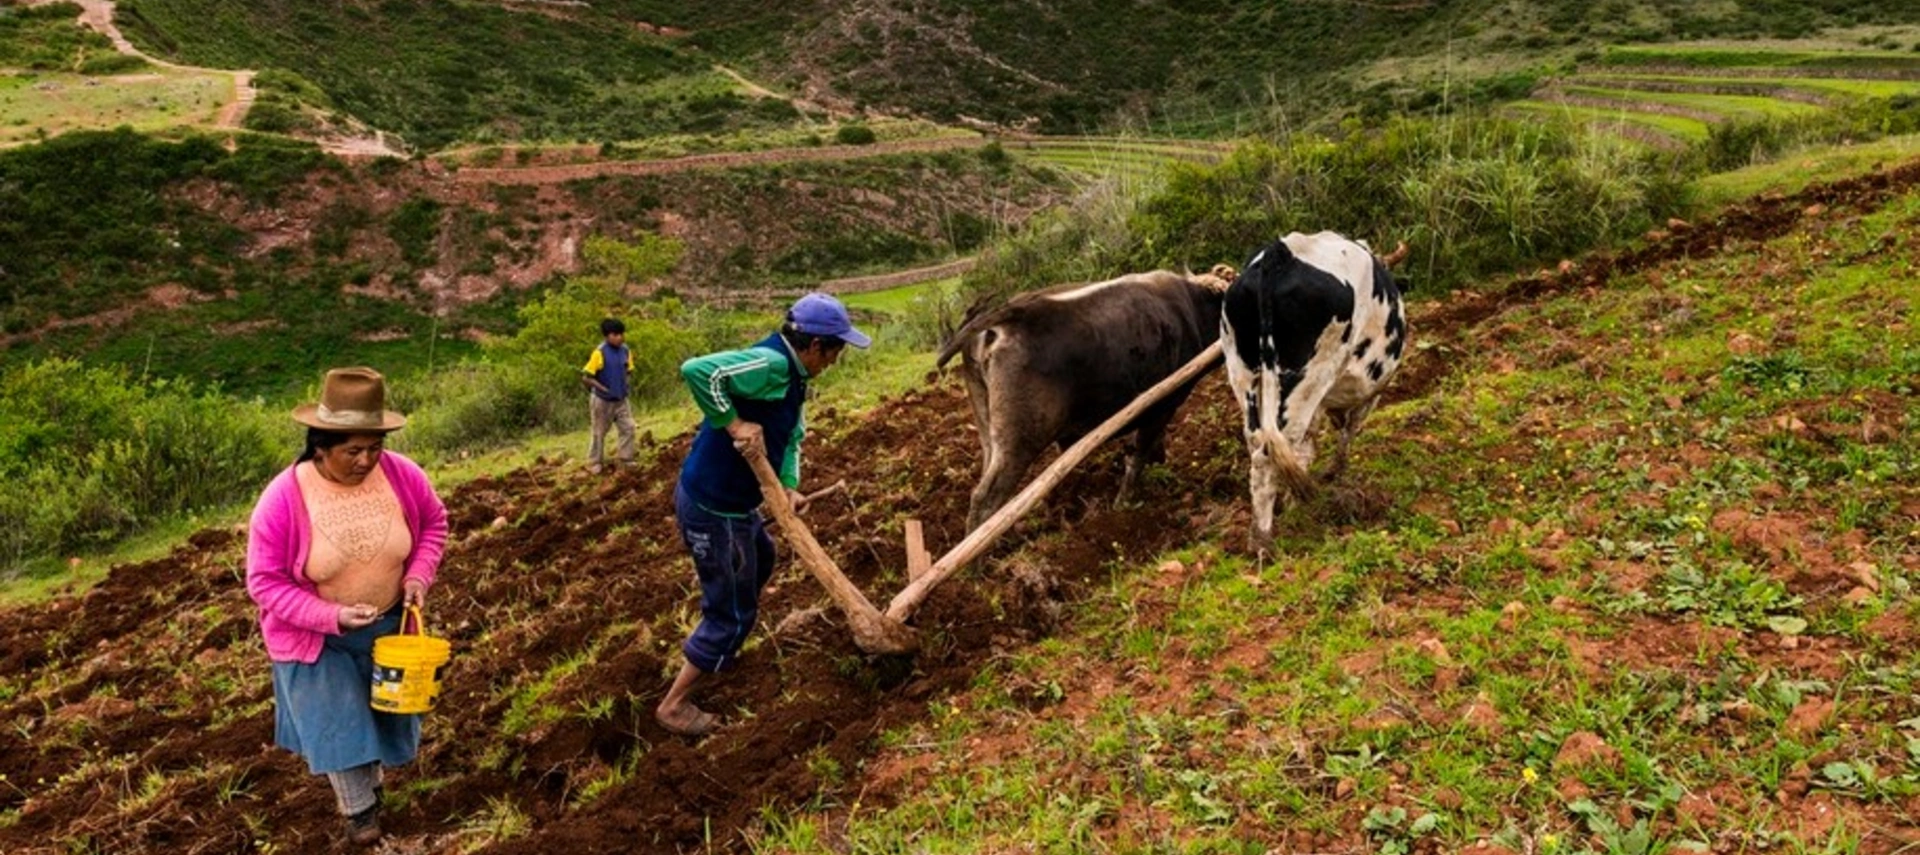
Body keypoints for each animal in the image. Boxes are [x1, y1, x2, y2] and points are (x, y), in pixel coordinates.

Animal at [940, 268, 1228, 530]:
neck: (1192, 309)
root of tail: (1010, 318)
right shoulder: (1163, 405)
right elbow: (1139, 455)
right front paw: (1125, 504)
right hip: (1020, 441)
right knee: (985, 499)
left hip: (989, 432)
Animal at [1228, 229, 1413, 545]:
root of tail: (1282, 253)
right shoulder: (1371, 393)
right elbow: (1349, 431)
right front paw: (1333, 473)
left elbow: (1308, 447)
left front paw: (1291, 501)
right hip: (1308, 377)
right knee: (1272, 450)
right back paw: (1263, 539)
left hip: (1243, 373)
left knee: (1258, 443)